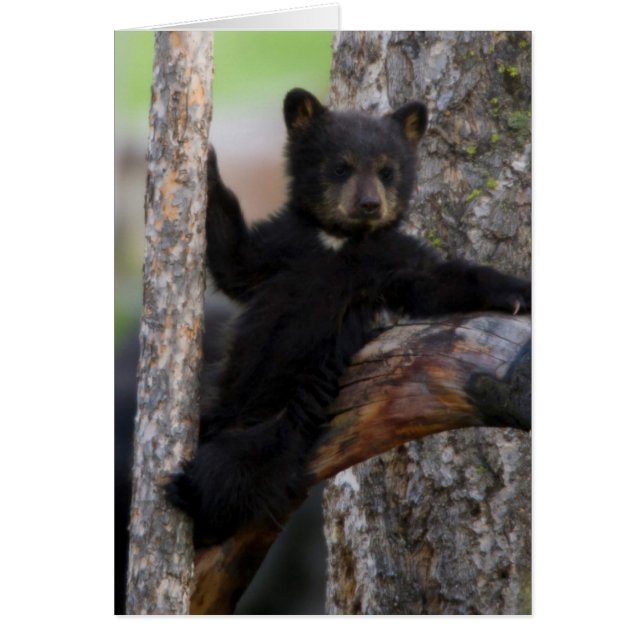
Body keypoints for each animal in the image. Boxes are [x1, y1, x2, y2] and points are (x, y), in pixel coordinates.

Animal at [166, 88, 531, 547]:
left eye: (387, 171)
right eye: (340, 166)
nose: (369, 204)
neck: (338, 241)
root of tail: (228, 419)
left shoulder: (386, 260)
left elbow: (438, 280)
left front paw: (517, 293)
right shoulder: (283, 245)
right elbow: (236, 260)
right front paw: (208, 161)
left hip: (279, 426)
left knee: (229, 472)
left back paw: (189, 495)